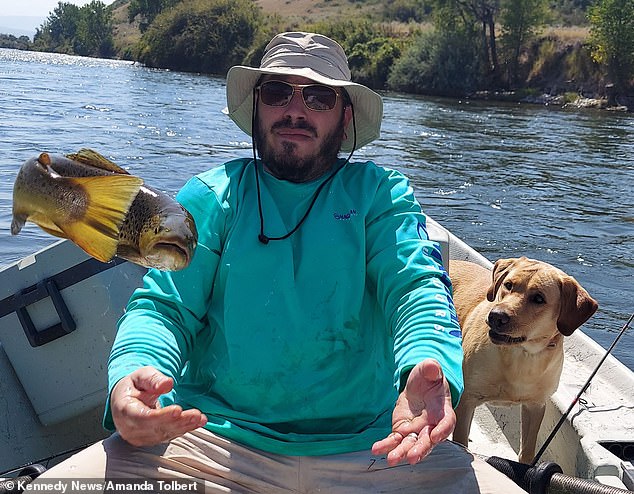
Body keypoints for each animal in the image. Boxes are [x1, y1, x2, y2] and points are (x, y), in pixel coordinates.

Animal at [446, 256, 596, 466]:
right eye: (508, 285)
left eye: (539, 298)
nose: (496, 316)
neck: (522, 354)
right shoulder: (467, 399)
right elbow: (460, 441)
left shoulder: (536, 406)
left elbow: (527, 452)